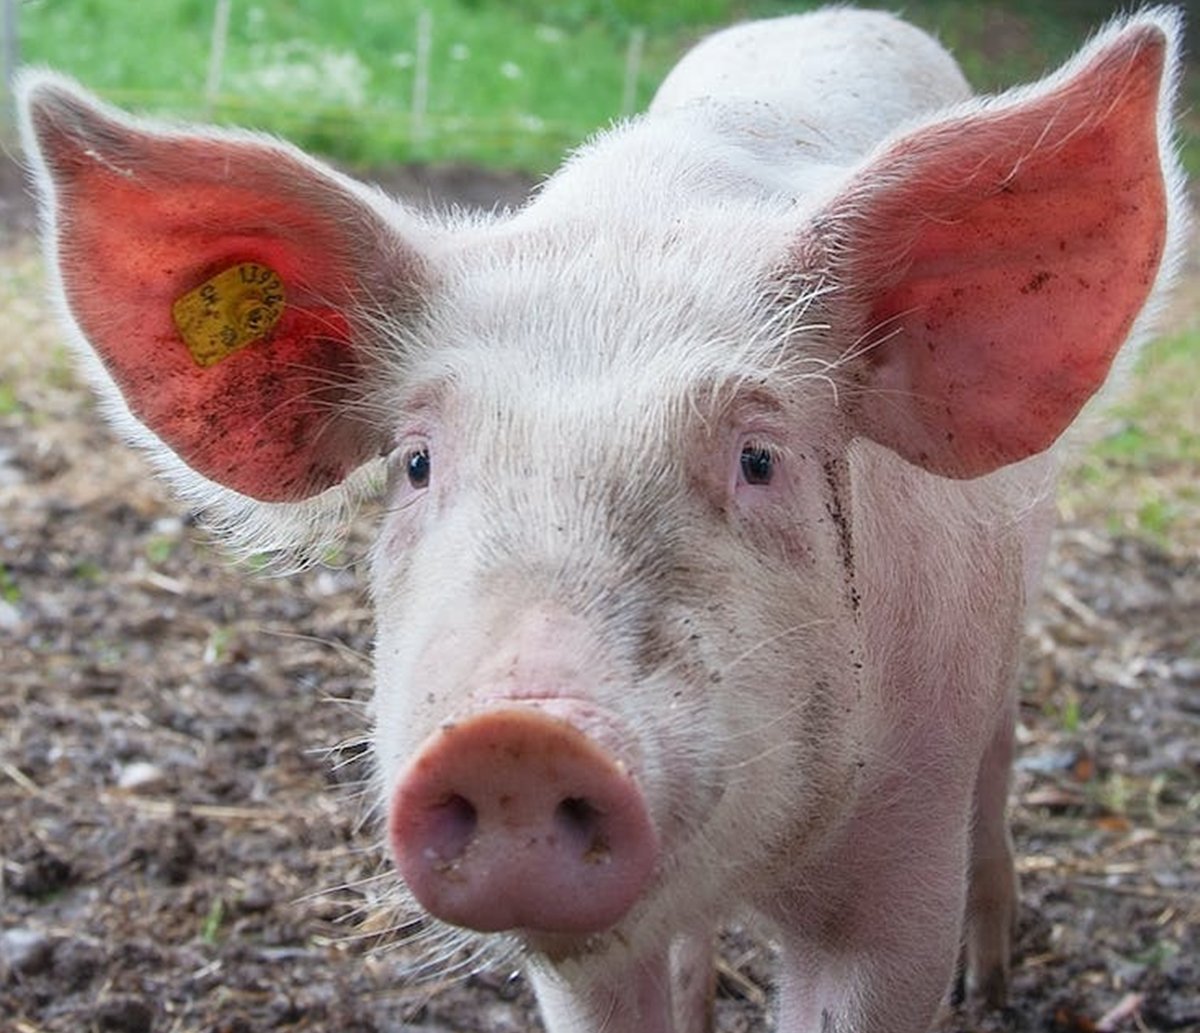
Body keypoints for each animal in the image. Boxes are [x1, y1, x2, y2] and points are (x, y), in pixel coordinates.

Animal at [14, 8, 1185, 1031]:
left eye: (759, 458)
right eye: (416, 462)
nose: (516, 737)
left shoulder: (900, 868)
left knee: (1000, 763)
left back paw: (990, 985)